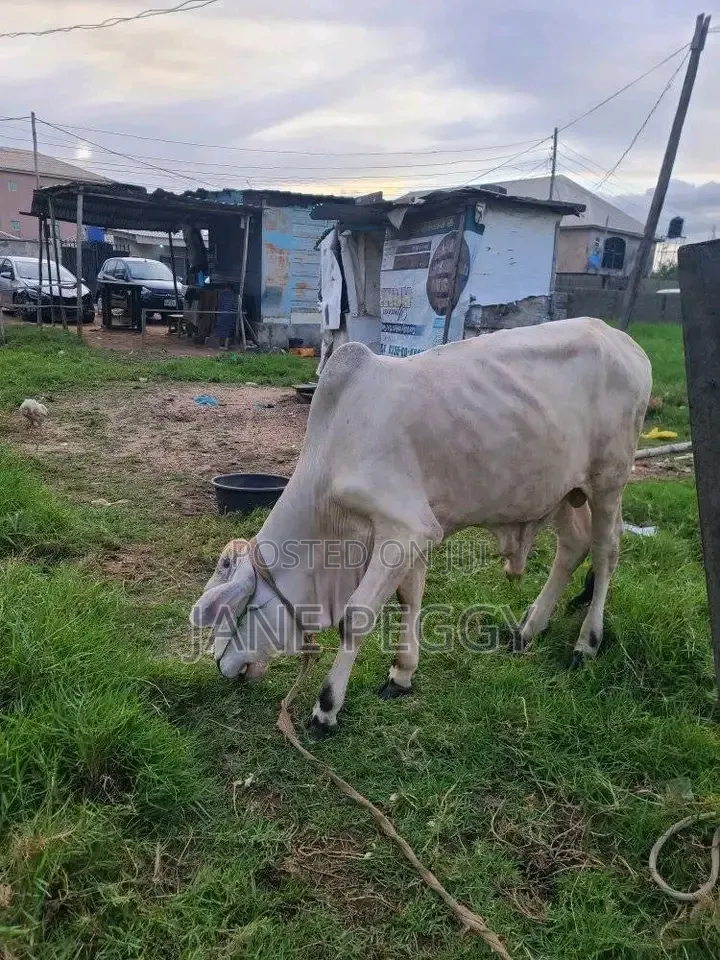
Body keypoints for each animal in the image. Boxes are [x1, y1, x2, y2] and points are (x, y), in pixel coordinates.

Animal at [191, 317, 652, 735]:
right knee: (573, 546)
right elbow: (408, 599)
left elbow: (356, 616)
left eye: (236, 612)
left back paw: (587, 642)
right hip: (560, 490)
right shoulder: (413, 535)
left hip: (608, 480)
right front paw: (402, 673)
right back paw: (527, 630)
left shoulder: (404, 528)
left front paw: (326, 708)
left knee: (606, 551)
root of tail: (623, 341)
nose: (219, 665)